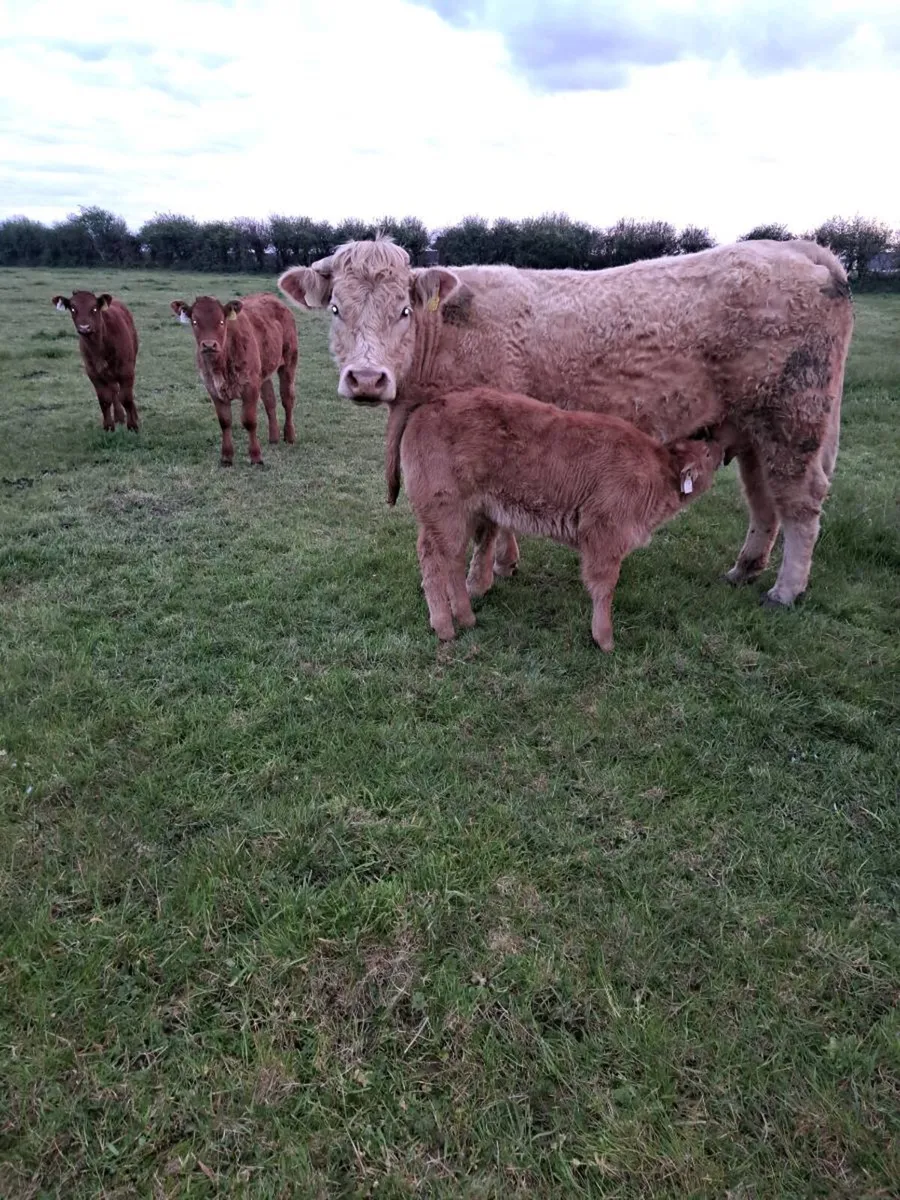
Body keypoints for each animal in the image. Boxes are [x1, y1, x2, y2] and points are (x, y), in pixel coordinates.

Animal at [51, 291, 140, 432]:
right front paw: (108, 426)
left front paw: (133, 425)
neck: (100, 346)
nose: (84, 327)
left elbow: (126, 398)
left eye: (94, 308)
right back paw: (119, 416)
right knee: (114, 390)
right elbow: (104, 399)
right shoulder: (93, 373)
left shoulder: (126, 370)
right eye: (73, 308)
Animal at [171, 293, 298, 466]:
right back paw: (274, 438)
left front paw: (256, 457)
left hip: (289, 361)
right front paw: (226, 457)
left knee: (287, 399)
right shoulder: (213, 389)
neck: (221, 366)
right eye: (195, 322)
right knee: (270, 401)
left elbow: (249, 421)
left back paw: (289, 436)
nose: (209, 345)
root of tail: (271, 297)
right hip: (263, 372)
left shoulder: (250, 386)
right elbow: (225, 421)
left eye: (221, 321)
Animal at [278, 237, 854, 608]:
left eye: (403, 310)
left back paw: (785, 591)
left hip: (794, 420)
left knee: (801, 505)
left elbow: (485, 522)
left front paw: (479, 581)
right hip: (752, 428)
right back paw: (744, 569)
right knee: (764, 503)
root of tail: (797, 247)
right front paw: (507, 564)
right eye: (335, 309)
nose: (367, 378)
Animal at [382, 386, 726, 648]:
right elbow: (604, 586)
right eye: (707, 453)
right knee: (433, 558)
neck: (657, 470)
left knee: (452, 559)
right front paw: (605, 639)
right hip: (444, 512)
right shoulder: (605, 535)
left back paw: (466, 617)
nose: (722, 448)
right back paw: (444, 626)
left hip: (464, 513)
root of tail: (425, 408)